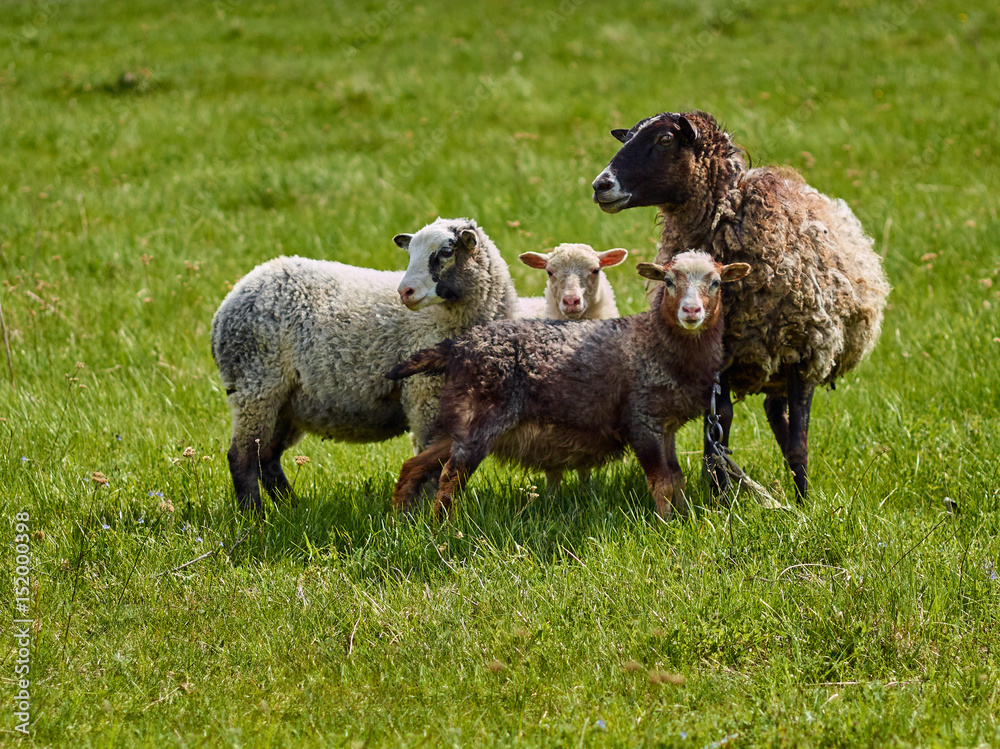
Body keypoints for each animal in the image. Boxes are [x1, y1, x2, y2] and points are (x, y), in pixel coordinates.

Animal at [211, 217, 519, 513]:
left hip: (285, 402)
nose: (404, 291)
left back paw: (291, 508)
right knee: (242, 457)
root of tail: (232, 298)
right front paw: (422, 514)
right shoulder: (426, 397)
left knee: (267, 458)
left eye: (445, 251)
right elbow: (430, 462)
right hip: (256, 386)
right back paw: (254, 515)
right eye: (410, 254)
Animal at [387, 251, 750, 519]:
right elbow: (660, 481)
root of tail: (458, 346)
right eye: (669, 281)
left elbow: (676, 478)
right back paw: (443, 531)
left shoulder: (667, 427)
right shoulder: (642, 420)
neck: (653, 342)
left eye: (716, 282)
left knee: (413, 466)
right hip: (481, 418)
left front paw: (685, 519)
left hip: (460, 421)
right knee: (450, 477)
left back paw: (401, 520)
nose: (691, 310)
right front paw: (666, 524)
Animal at [592, 110, 890, 500]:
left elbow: (800, 443)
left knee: (781, 416)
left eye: (665, 140)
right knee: (769, 410)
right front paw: (719, 496)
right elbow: (719, 430)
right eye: (627, 138)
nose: (600, 185)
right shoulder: (721, 360)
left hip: (787, 357)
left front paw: (804, 503)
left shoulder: (807, 353)